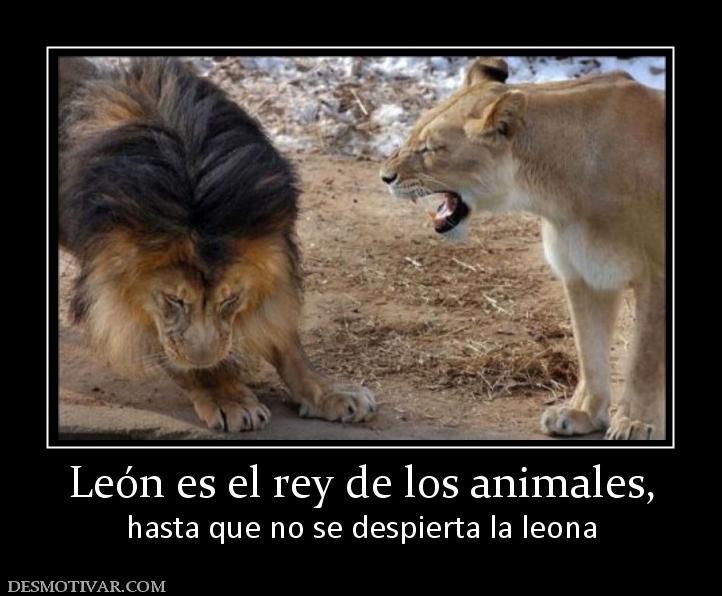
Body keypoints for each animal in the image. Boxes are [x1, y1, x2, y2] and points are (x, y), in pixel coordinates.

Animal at [59, 57, 376, 433]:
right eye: (174, 300)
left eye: (231, 299)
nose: (203, 359)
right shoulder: (113, 291)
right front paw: (228, 397)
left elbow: (286, 340)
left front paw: (331, 393)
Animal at [379, 57, 665, 440]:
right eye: (414, 136)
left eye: (431, 149)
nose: (385, 177)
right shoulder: (584, 273)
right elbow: (589, 348)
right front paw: (582, 413)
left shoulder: (658, 276)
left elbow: (644, 360)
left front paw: (635, 422)